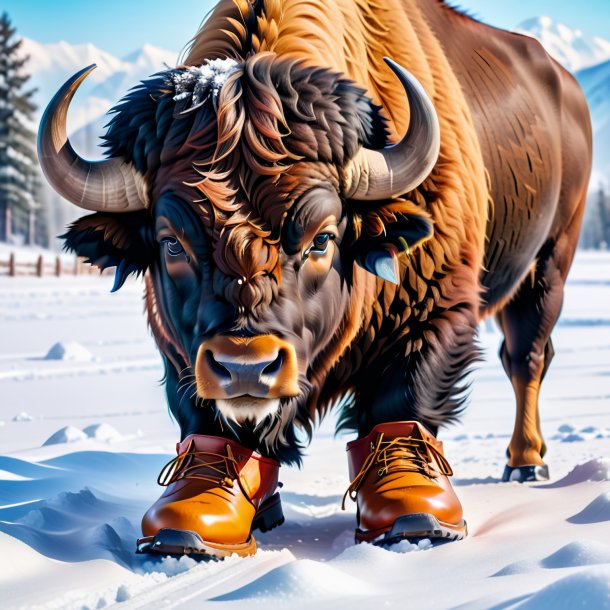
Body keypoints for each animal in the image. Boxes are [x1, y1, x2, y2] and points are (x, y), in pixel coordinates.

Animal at [38, 0, 588, 552]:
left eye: (322, 238)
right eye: (172, 242)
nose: (245, 367)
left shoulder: (435, 308)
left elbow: (402, 399)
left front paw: (415, 513)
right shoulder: (180, 352)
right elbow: (208, 418)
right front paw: (202, 515)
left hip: (548, 267)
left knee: (525, 358)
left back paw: (526, 464)